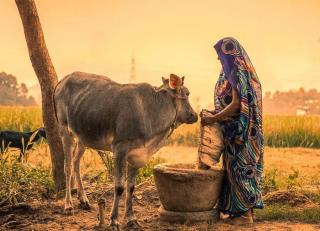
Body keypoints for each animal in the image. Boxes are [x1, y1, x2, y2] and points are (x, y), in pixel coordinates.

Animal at [53, 71, 198, 229]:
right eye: (187, 93)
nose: (194, 115)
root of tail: (63, 80)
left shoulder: (136, 154)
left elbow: (131, 187)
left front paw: (131, 218)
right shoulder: (120, 149)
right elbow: (120, 187)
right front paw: (113, 220)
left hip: (83, 136)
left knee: (76, 162)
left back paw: (84, 200)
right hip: (64, 129)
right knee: (68, 166)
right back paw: (68, 205)